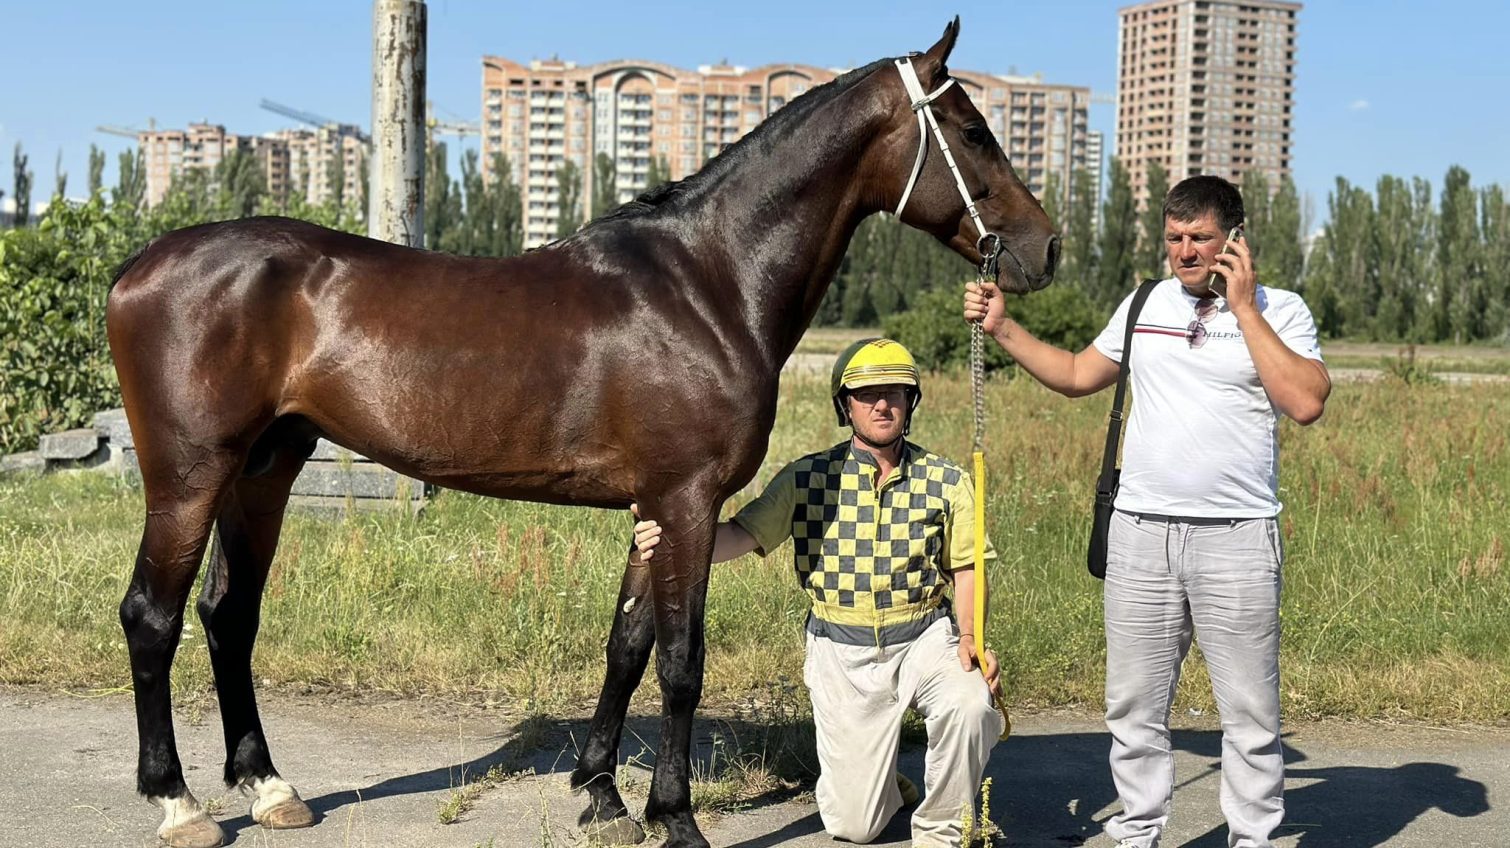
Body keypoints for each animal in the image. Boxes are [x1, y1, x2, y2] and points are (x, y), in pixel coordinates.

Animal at [106, 19, 1057, 844]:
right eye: (972, 131)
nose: (1044, 249)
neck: (706, 283)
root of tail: (135, 268)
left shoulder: (655, 505)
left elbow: (627, 643)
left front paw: (602, 793)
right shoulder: (686, 499)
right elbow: (680, 659)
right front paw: (676, 817)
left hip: (266, 468)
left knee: (229, 614)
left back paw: (271, 789)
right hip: (191, 476)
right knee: (153, 616)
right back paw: (178, 803)